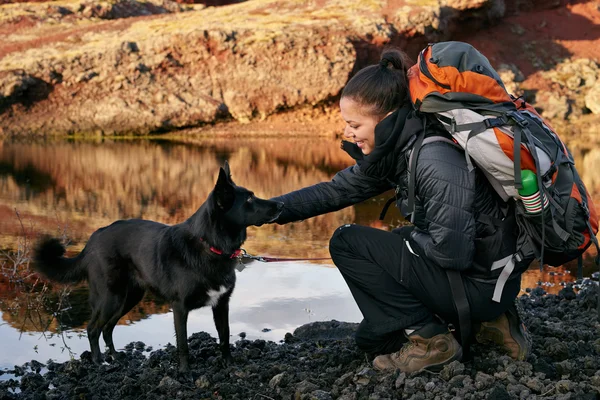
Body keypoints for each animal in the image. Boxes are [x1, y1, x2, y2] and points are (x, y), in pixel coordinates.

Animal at [34, 161, 284, 374]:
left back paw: (115, 356)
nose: (281, 204)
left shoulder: (221, 304)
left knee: (107, 328)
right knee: (93, 328)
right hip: (110, 297)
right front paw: (185, 373)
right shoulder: (180, 307)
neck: (210, 245)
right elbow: (183, 344)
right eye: (249, 200)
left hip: (129, 297)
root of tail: (93, 239)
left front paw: (229, 365)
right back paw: (98, 361)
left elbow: (225, 337)